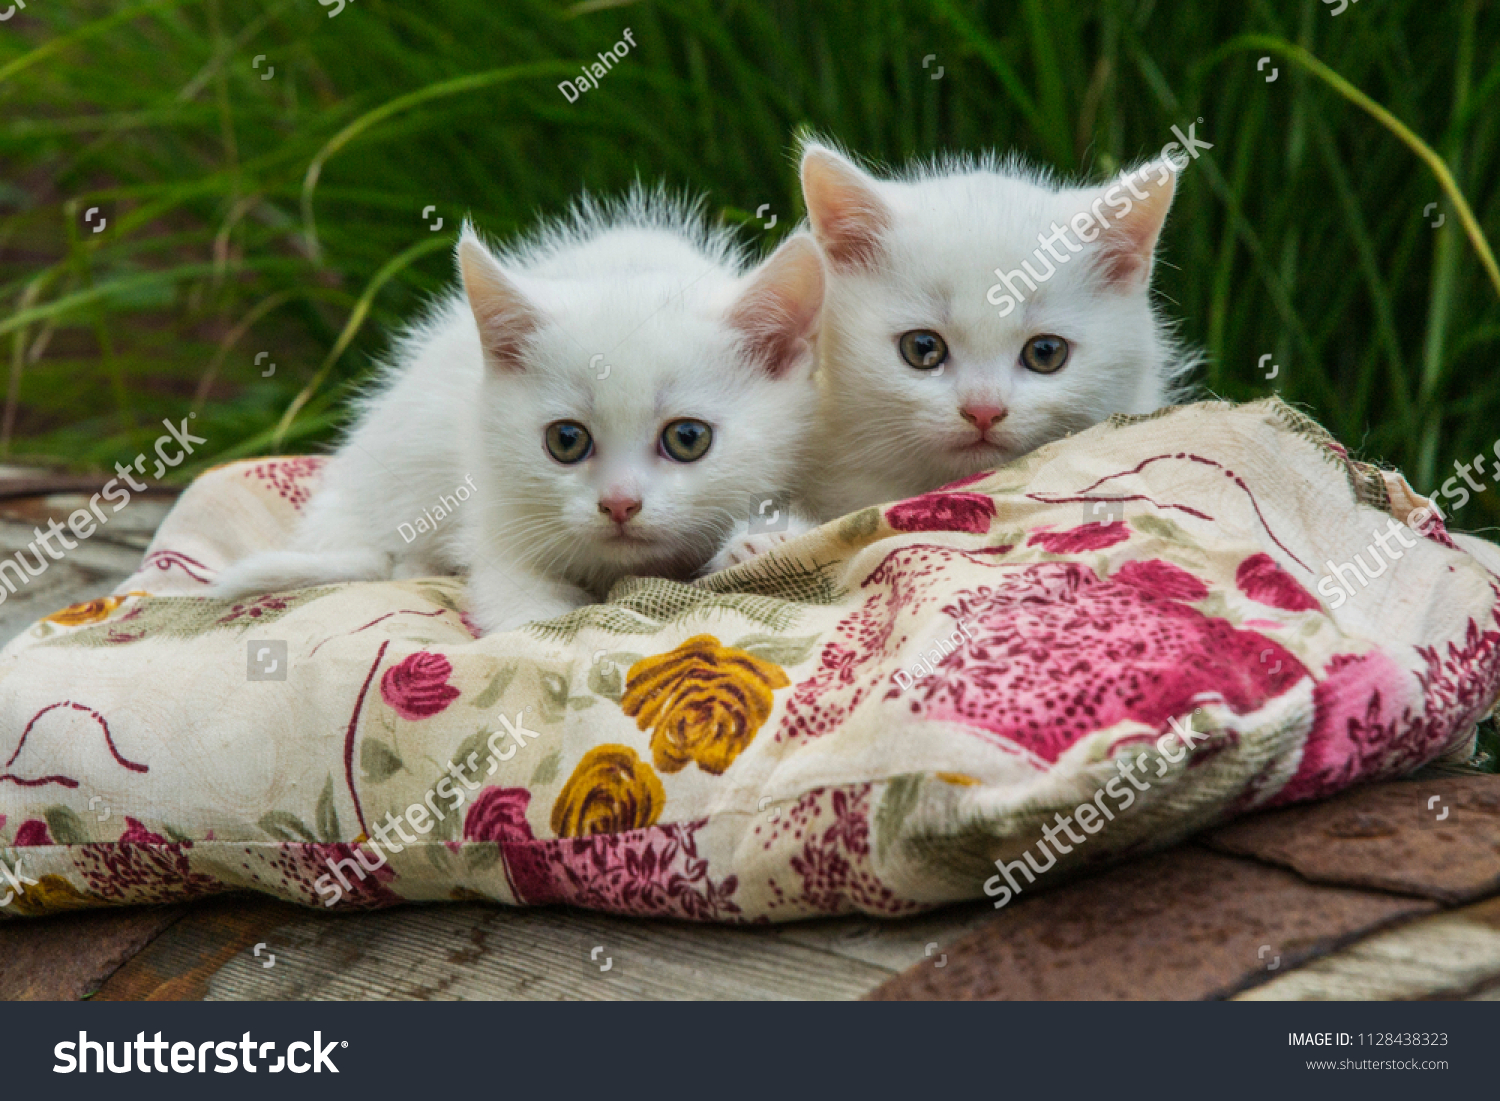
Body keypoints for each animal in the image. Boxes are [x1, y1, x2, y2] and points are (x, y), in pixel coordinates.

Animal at [211, 193, 822, 633]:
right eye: (566, 441)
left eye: (688, 438)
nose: (619, 504)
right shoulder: (494, 513)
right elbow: (518, 605)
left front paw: (761, 541)